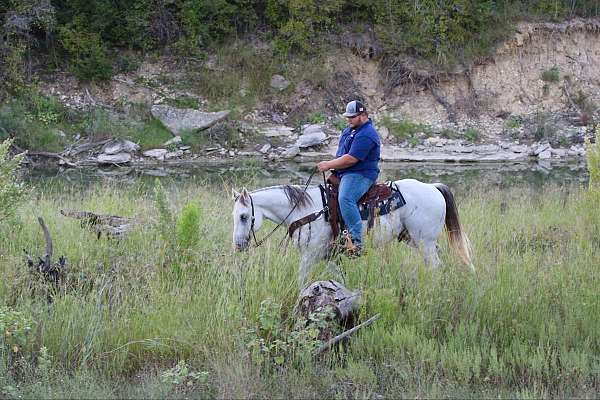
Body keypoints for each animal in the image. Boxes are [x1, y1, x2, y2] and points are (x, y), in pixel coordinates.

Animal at [233, 178, 474, 284]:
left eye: (244, 216)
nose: (238, 245)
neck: (308, 210)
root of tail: (432, 187)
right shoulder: (329, 256)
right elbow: (339, 278)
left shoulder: (310, 255)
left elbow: (301, 279)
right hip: (414, 239)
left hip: (424, 241)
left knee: (434, 265)